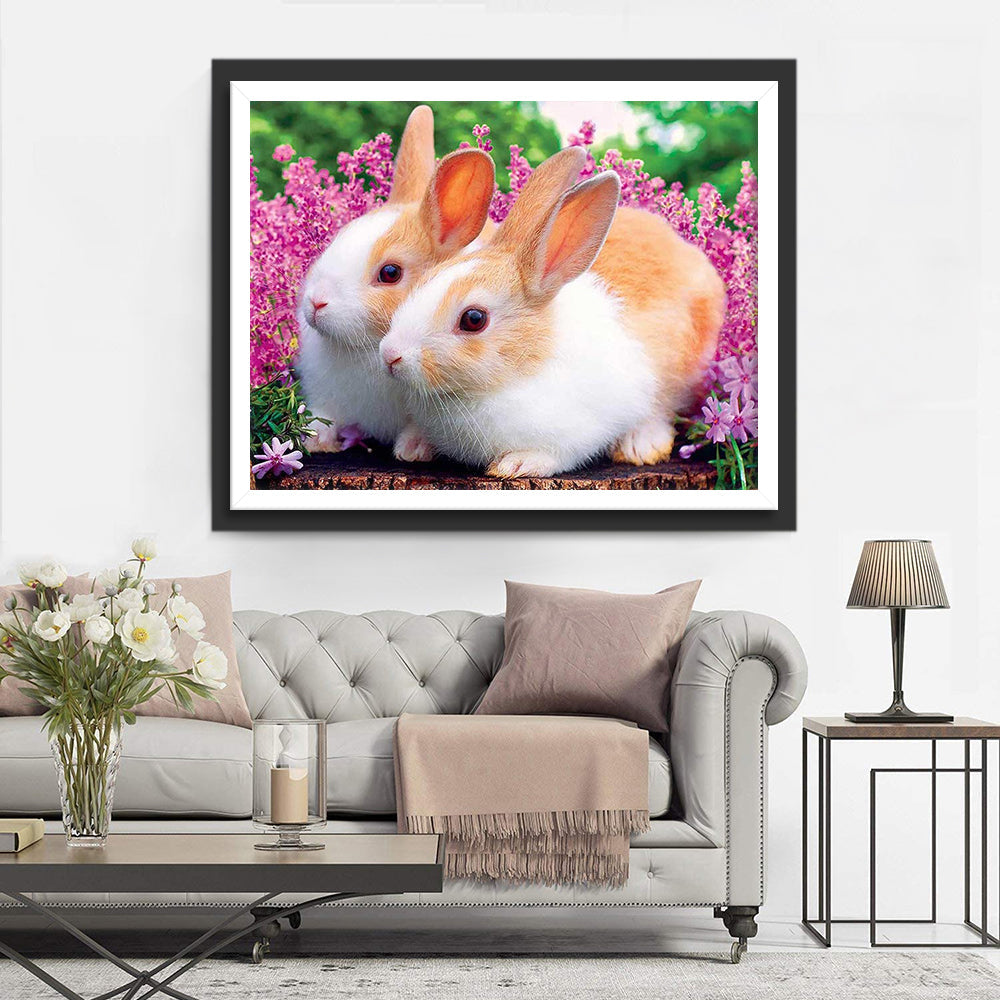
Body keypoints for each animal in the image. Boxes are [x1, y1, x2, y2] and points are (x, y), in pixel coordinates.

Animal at [295, 104, 496, 461]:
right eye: (340, 234)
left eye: (390, 273)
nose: (316, 302)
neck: (364, 349)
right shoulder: (325, 395)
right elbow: (325, 415)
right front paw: (315, 441)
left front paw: (411, 450)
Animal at [378, 146, 726, 478]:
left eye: (473, 319)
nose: (391, 354)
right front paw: (412, 447)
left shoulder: (581, 430)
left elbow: (557, 453)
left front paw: (516, 465)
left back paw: (639, 446)